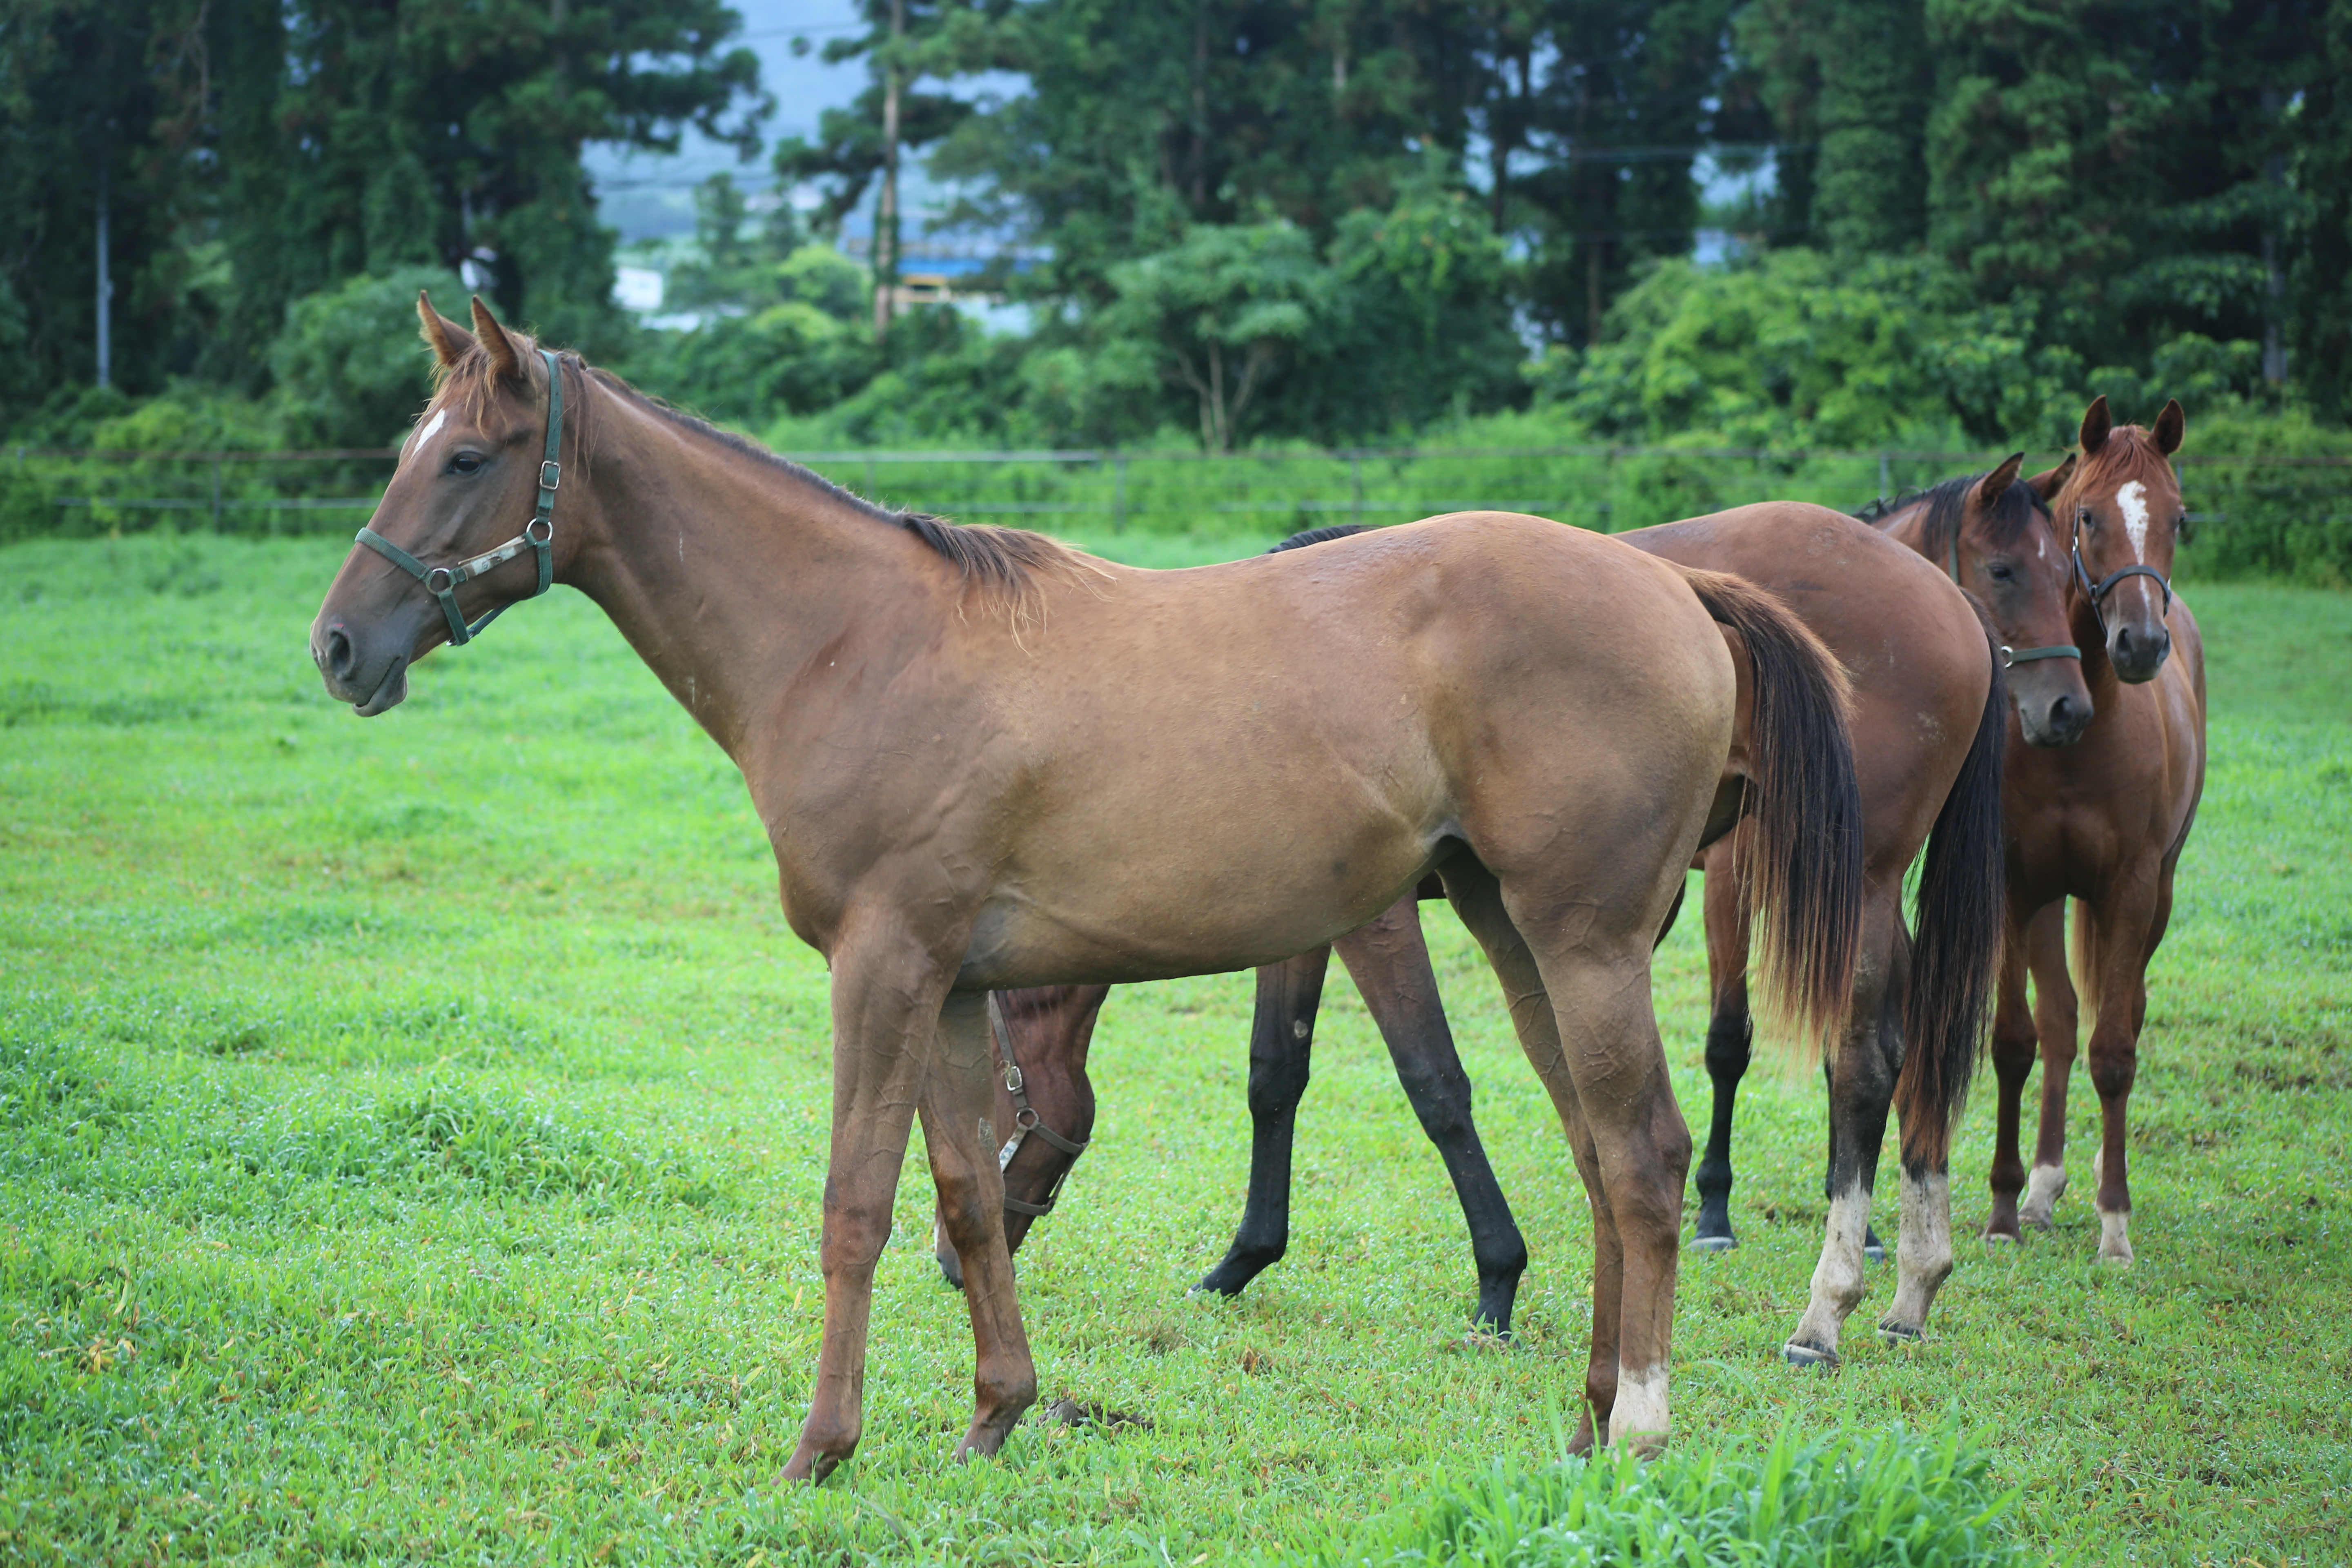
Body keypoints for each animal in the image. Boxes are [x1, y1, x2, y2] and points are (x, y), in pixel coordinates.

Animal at [313, 294, 1862, 1476]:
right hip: (1514, 928)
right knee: (1600, 1158)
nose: (338, 646)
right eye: (407, 448)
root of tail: (1681, 590)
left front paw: (822, 1448)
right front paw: (995, 1417)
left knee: (1648, 1158)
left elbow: (857, 1202)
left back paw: (1642, 1428)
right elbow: (965, 1194)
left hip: (1584, 940)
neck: (854, 640)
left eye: (467, 457)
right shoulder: (953, 985)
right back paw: (1592, 1415)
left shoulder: (882, 965)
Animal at [955, 501, 2004, 1363]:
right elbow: (1274, 1075)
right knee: (1917, 1047)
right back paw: (1911, 1281)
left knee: (1862, 1064)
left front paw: (1497, 1277)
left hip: (1850, 887)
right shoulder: (1294, 923)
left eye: (992, 1100)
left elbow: (1434, 1083)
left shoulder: (1375, 922)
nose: (946, 1256)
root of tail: (1948, 600)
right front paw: (1243, 1258)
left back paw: (1828, 1307)